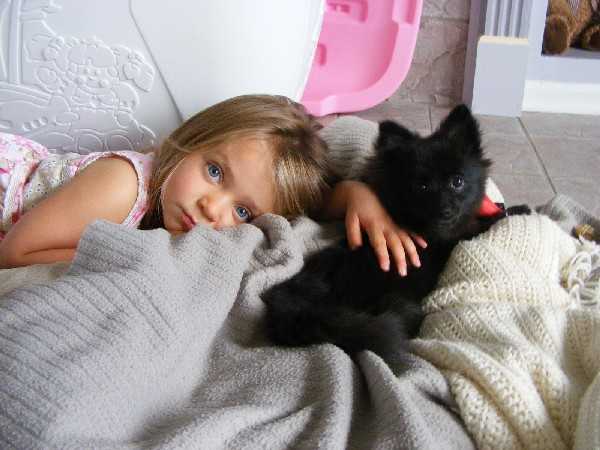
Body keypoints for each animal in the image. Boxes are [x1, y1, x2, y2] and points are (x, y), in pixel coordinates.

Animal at [261, 104, 529, 363]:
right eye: (422, 186)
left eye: (458, 181)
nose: (445, 210)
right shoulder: (450, 241)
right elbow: (478, 227)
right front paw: (516, 210)